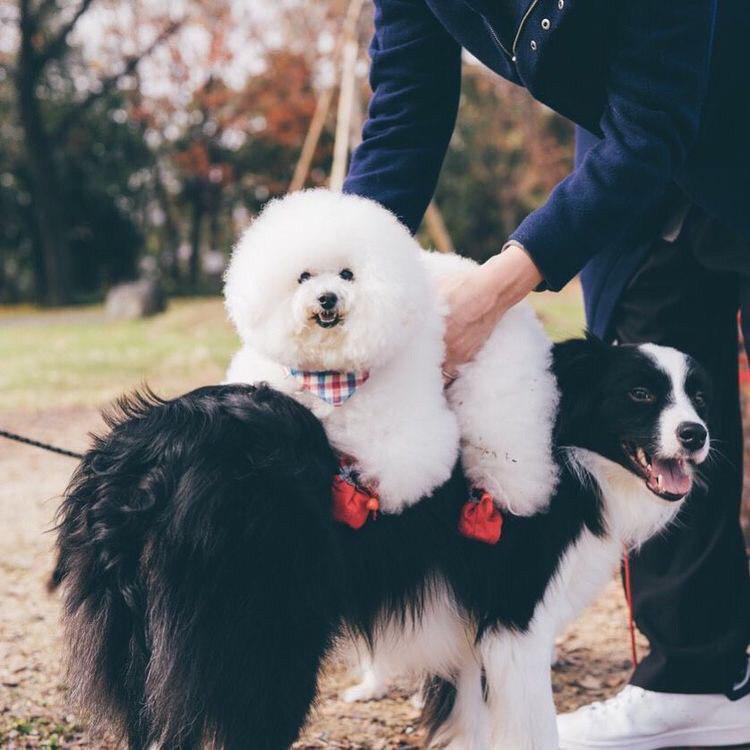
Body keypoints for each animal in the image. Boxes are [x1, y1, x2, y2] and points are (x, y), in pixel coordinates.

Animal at [55, 340, 712, 750]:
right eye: (639, 395)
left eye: (698, 396)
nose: (697, 434)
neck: (568, 448)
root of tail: (147, 449)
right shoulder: (514, 624)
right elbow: (532, 731)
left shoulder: (466, 634)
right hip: (268, 647)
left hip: (144, 653)